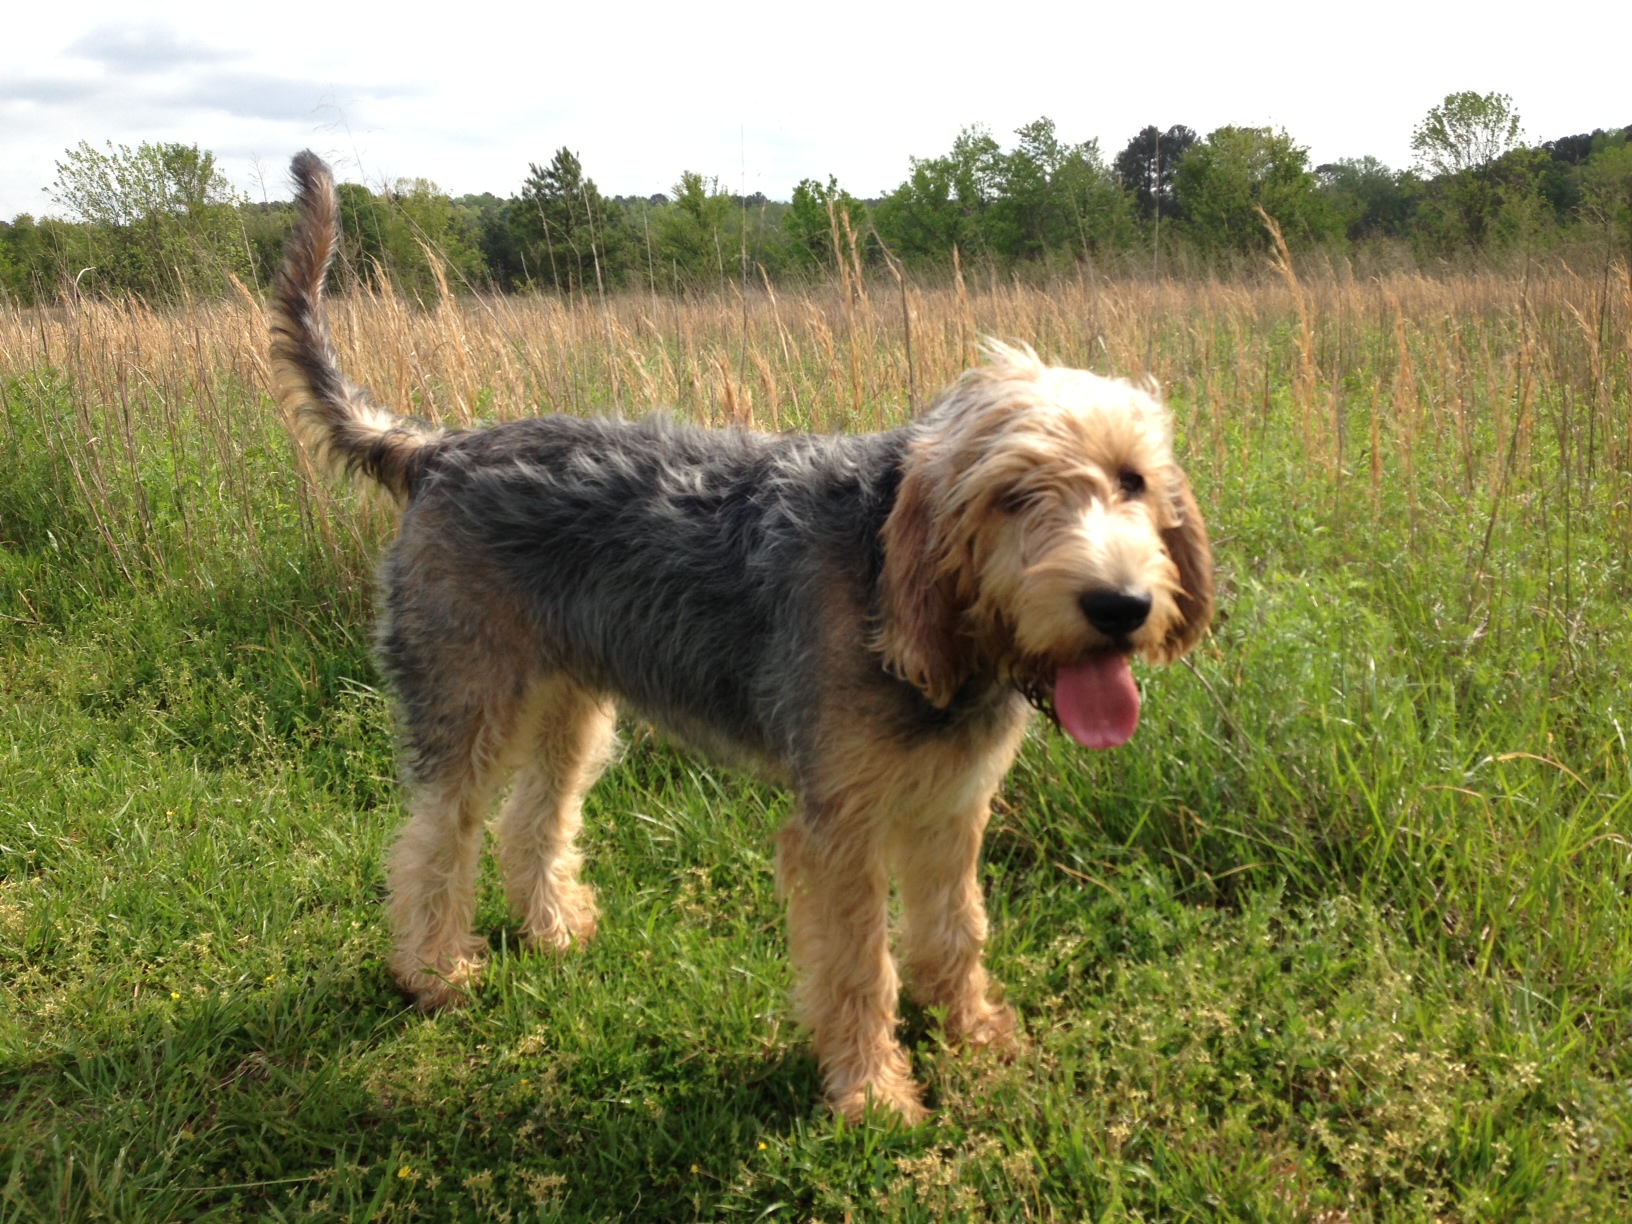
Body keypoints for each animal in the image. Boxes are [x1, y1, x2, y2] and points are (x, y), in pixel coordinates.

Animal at [270, 150, 1214, 1122]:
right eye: (1015, 495)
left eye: (1133, 480)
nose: (1120, 606)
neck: (899, 593)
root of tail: (437, 450)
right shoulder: (840, 826)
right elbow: (859, 967)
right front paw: (873, 1096)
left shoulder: (951, 807)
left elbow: (957, 931)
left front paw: (977, 1036)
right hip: (468, 700)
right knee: (434, 839)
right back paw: (432, 973)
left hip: (572, 710)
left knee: (533, 820)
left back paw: (557, 929)